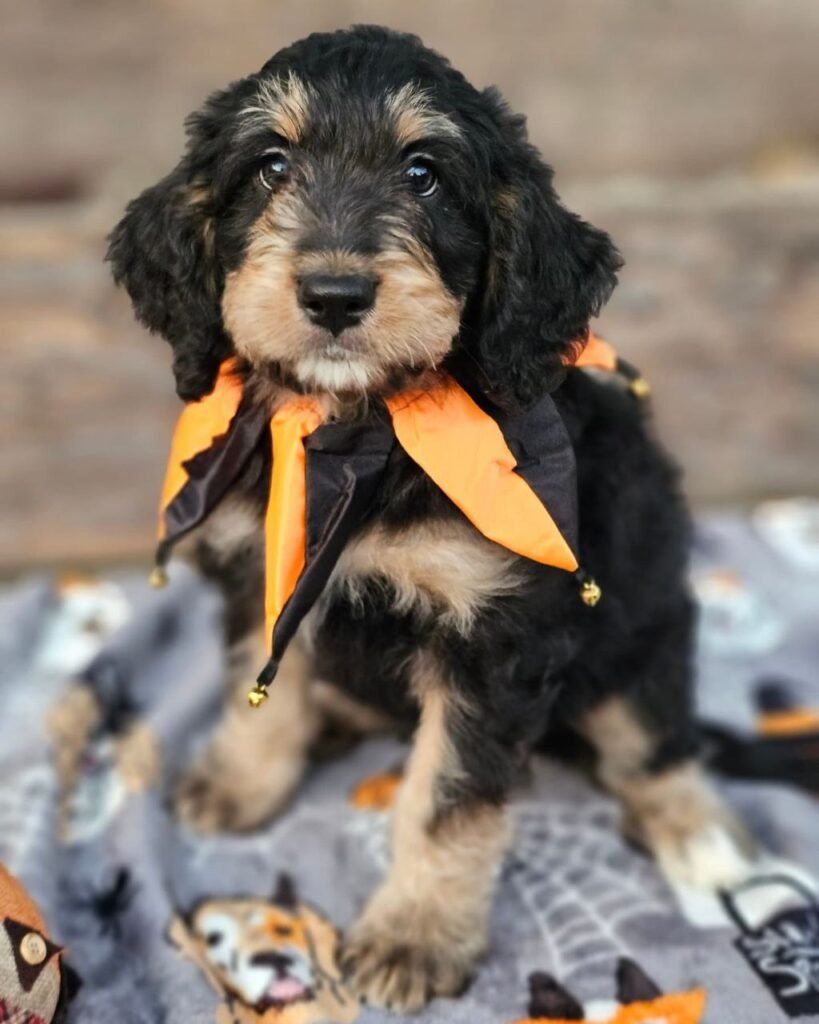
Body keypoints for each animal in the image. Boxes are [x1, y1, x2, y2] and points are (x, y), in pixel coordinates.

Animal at [110, 28, 753, 1011]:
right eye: (269, 165)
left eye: (424, 174)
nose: (334, 295)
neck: (362, 432)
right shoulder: (266, 568)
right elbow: (262, 688)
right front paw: (242, 776)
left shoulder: (494, 635)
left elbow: (445, 799)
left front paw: (412, 936)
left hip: (643, 627)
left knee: (652, 737)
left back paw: (697, 834)